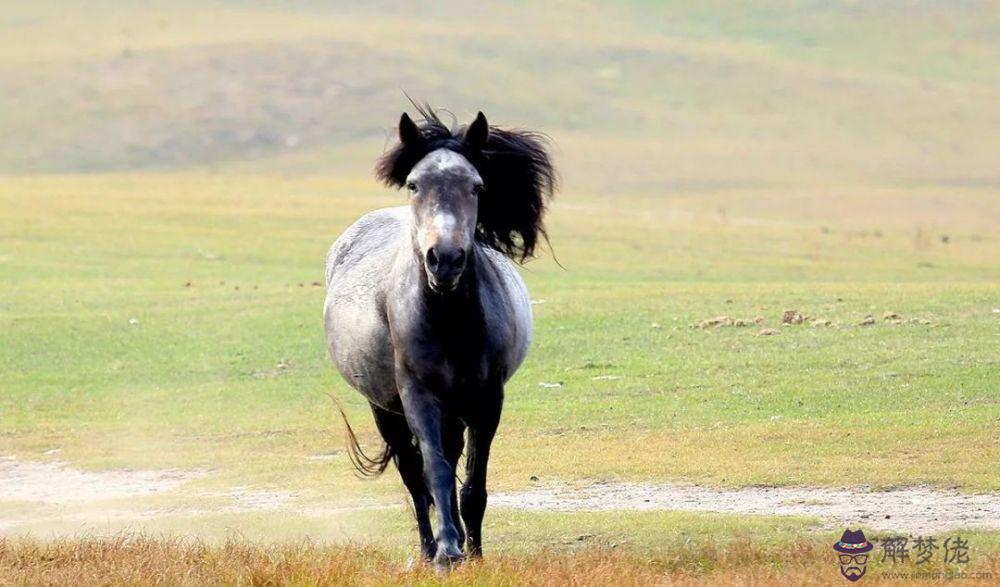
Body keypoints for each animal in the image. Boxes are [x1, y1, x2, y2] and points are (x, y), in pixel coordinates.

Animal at [322, 104, 556, 564]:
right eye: (414, 184)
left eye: (476, 186)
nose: (444, 260)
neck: (449, 321)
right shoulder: (417, 396)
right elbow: (435, 472)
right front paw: (448, 551)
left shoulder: (487, 399)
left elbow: (474, 485)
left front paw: (475, 554)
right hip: (385, 409)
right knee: (414, 478)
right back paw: (430, 549)